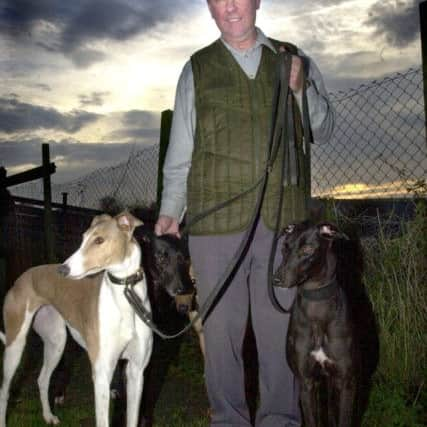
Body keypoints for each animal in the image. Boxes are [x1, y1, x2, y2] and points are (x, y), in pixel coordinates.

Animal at [272, 222, 380, 426]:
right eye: (284, 247)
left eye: (307, 250)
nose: (276, 279)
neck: (317, 306)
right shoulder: (307, 383)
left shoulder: (346, 383)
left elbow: (344, 420)